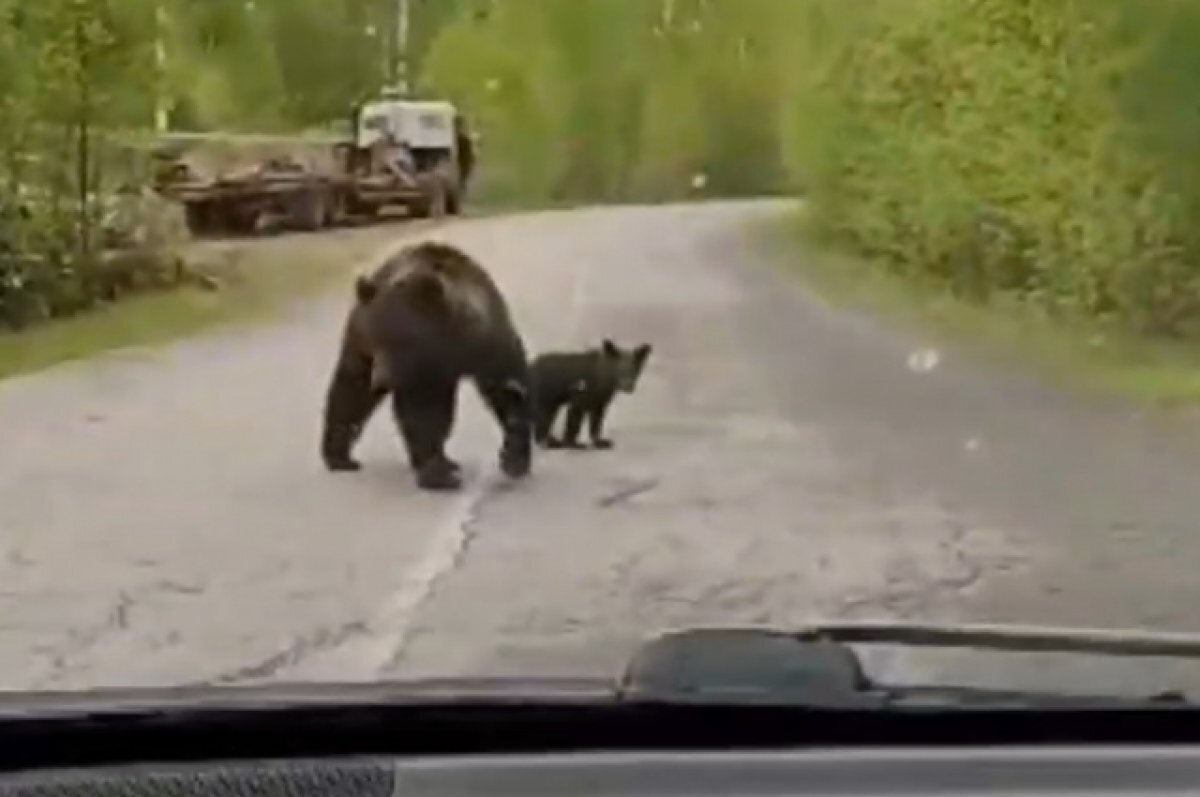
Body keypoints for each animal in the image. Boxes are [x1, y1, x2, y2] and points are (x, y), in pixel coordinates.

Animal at [316, 241, 532, 492]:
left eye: (400, 341)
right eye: (376, 341)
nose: (380, 379)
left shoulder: (488, 341)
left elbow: (508, 390)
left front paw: (514, 458)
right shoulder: (416, 373)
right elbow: (423, 415)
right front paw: (438, 475)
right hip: (357, 338)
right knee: (351, 390)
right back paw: (339, 455)